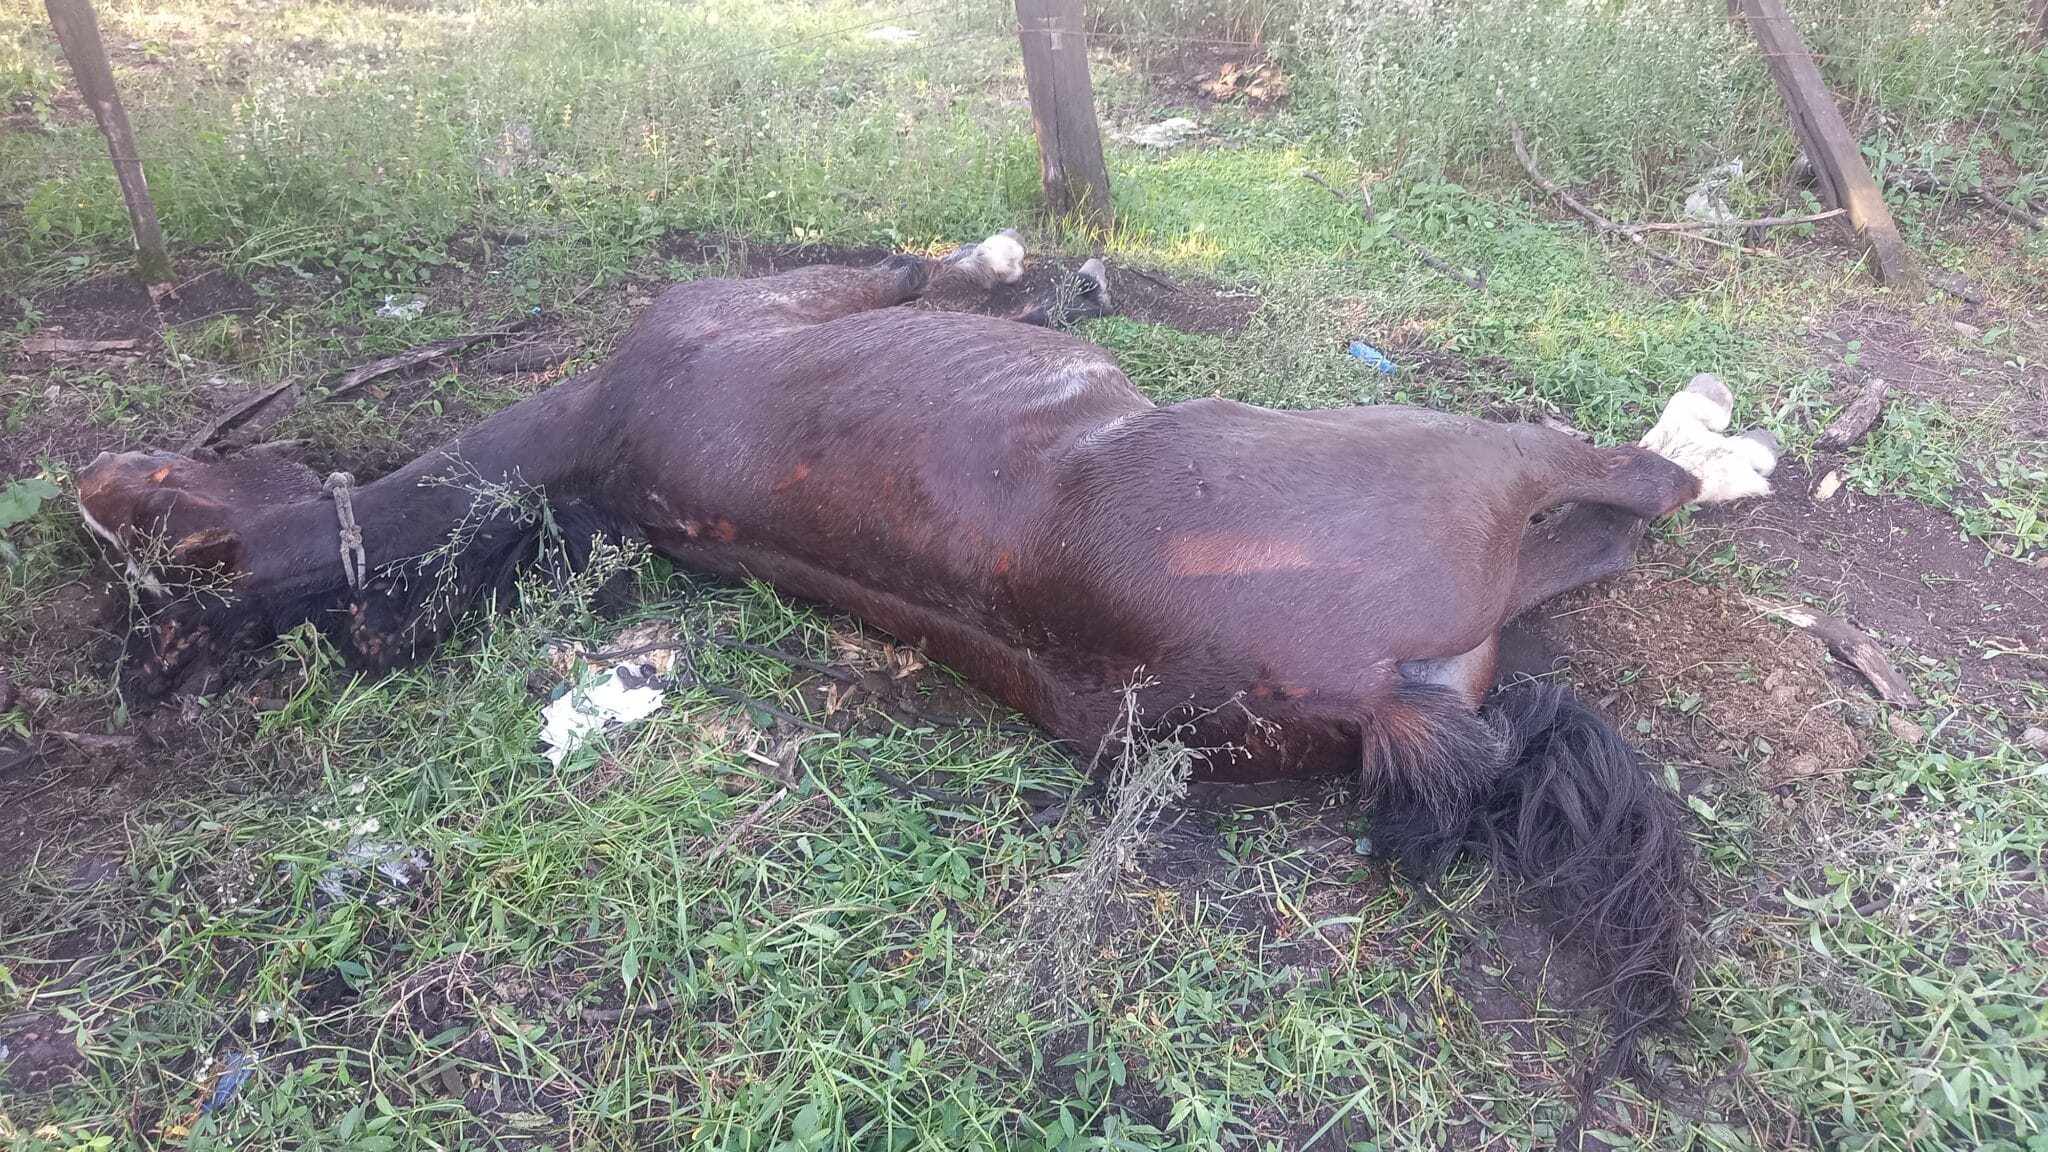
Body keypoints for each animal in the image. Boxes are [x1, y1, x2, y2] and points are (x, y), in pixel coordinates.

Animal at [79, 230, 1777, 1082]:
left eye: (161, 487)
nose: (93, 477)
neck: (596, 447)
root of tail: (1370, 705)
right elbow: (907, 263)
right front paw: (1027, 259)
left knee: (1615, 524)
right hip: (1470, 461)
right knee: (1636, 486)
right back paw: (1719, 433)